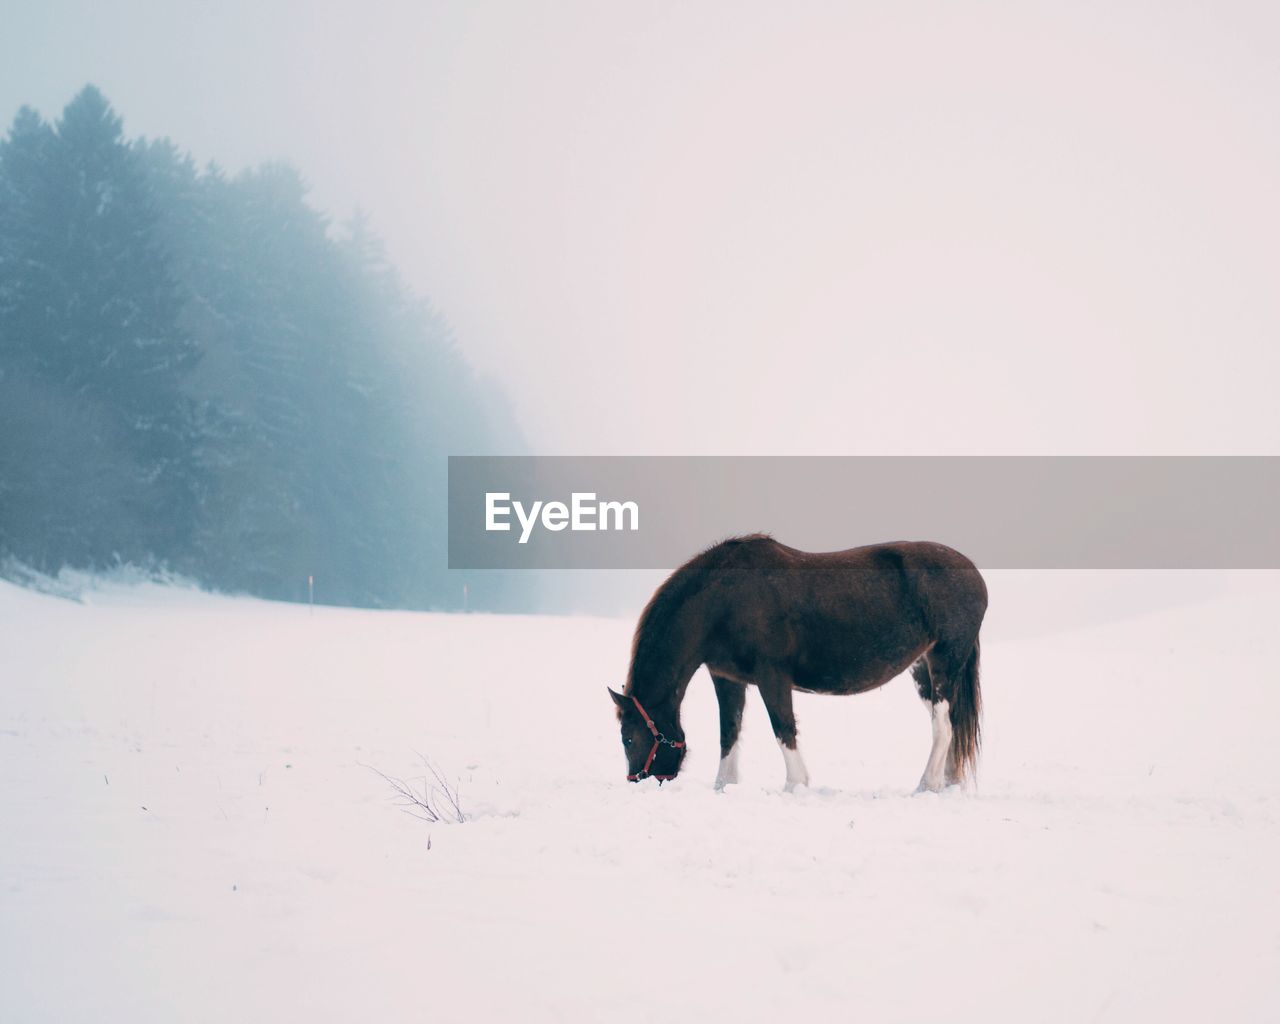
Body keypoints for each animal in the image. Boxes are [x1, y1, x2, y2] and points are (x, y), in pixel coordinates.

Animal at [609, 535, 988, 793]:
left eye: (627, 738)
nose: (638, 781)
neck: (723, 600)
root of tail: (974, 574)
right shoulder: (727, 677)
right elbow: (729, 732)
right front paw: (724, 785)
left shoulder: (771, 676)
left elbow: (783, 727)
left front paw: (796, 785)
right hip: (924, 669)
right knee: (951, 725)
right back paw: (948, 783)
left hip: (944, 662)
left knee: (943, 727)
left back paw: (926, 785)